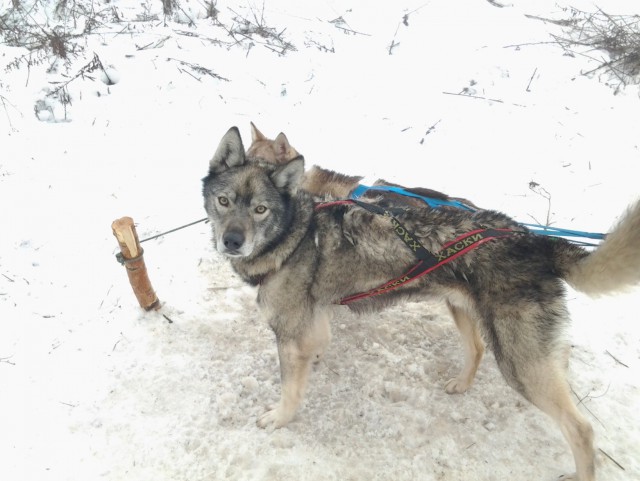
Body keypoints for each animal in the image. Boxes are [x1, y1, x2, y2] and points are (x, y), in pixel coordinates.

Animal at [204, 125, 640, 478]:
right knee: (478, 349)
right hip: (468, 314)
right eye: (224, 201)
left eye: (261, 209)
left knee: (580, 428)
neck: (294, 232)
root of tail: (534, 240)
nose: (232, 241)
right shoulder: (312, 327)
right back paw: (461, 384)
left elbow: (289, 390)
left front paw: (279, 418)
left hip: (521, 362)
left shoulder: (291, 334)